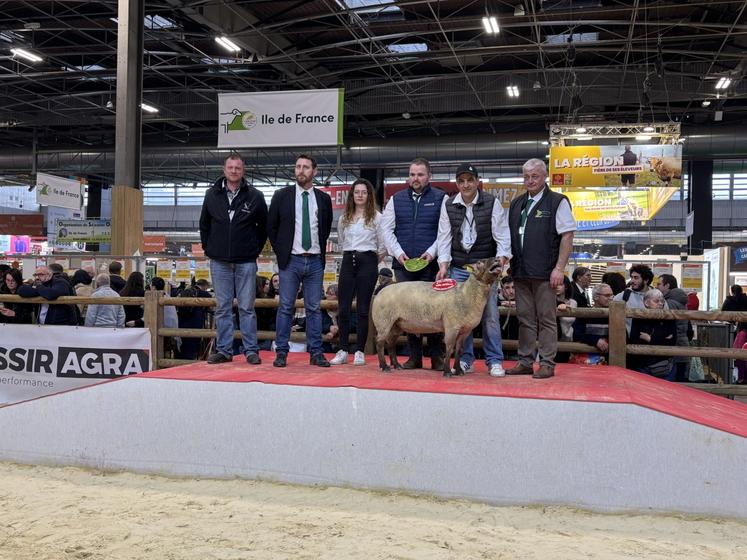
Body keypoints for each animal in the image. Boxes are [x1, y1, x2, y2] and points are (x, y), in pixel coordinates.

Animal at [372, 258, 502, 376]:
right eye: (480, 262)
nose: (497, 259)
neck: (466, 294)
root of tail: (379, 293)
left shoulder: (465, 331)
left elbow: (459, 351)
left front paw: (458, 371)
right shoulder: (451, 326)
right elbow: (449, 348)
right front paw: (447, 372)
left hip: (396, 324)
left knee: (391, 343)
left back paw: (396, 365)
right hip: (383, 321)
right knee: (380, 342)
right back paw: (384, 366)